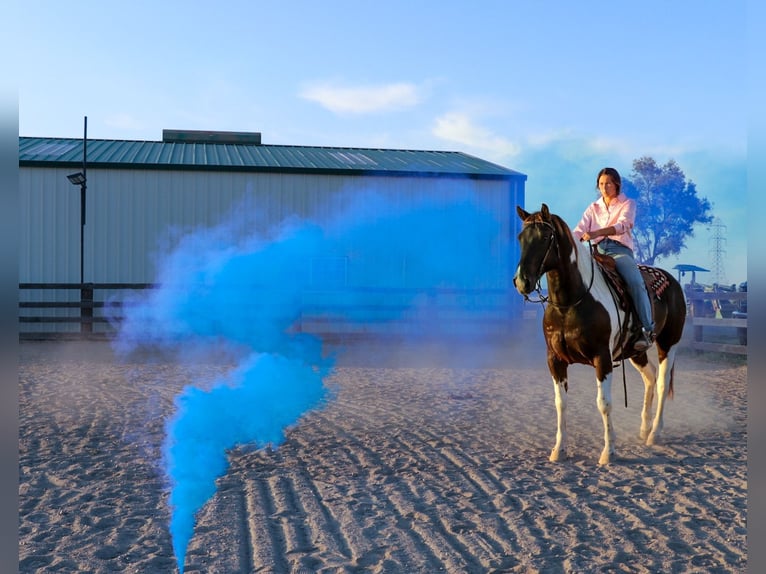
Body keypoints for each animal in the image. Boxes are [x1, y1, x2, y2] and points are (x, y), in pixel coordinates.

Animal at [516, 205, 688, 466]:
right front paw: (559, 450)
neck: (570, 302)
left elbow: (604, 404)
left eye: (545, 237)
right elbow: (560, 403)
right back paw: (644, 428)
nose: (521, 281)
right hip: (635, 351)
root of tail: (673, 281)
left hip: (669, 342)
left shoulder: (602, 358)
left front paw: (608, 452)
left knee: (661, 383)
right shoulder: (555, 360)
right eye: (520, 238)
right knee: (650, 378)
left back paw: (655, 433)